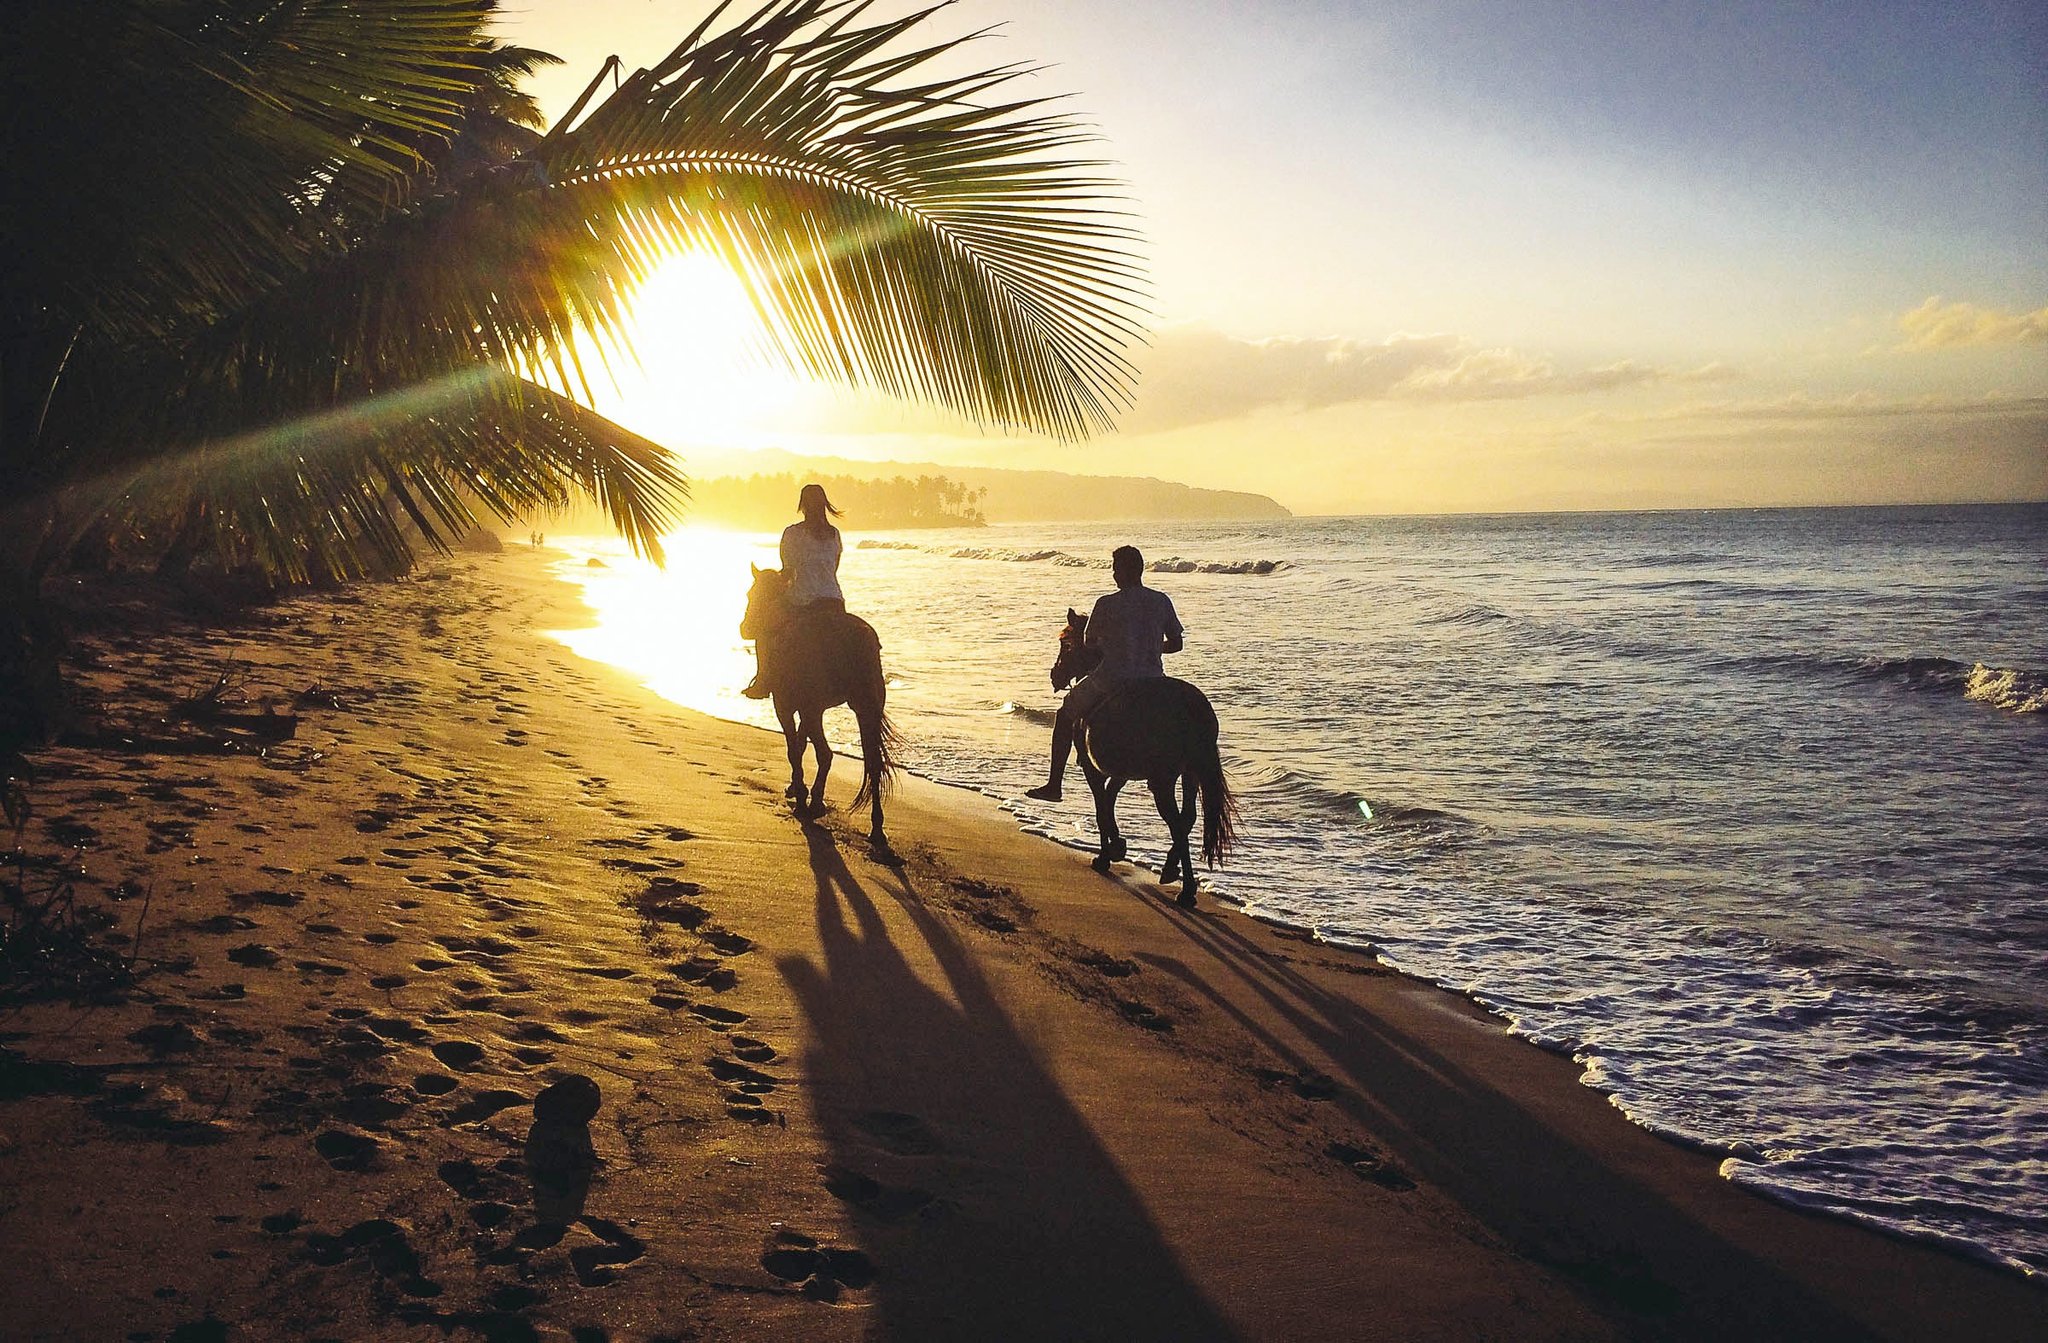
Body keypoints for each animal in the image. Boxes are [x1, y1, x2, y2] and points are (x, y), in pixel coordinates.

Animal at [737, 565, 897, 859]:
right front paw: (794, 787)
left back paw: (813, 804)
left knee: (826, 753)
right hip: (865, 707)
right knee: (873, 763)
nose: (745, 628)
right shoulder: (811, 708)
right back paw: (877, 829)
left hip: (816, 708)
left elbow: (794, 747)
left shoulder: (789, 706)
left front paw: (799, 792)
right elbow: (801, 745)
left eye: (752, 594)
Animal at [1056, 610, 1228, 908]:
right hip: (1190, 772)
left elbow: (1101, 807)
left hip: (1163, 779)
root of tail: (1192, 706)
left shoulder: (1093, 767)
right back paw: (1171, 869)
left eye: (1066, 645)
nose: (1054, 676)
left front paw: (1105, 856)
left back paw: (1186, 890)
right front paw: (1117, 846)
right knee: (1187, 818)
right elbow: (1109, 800)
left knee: (1177, 823)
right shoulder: (1120, 772)